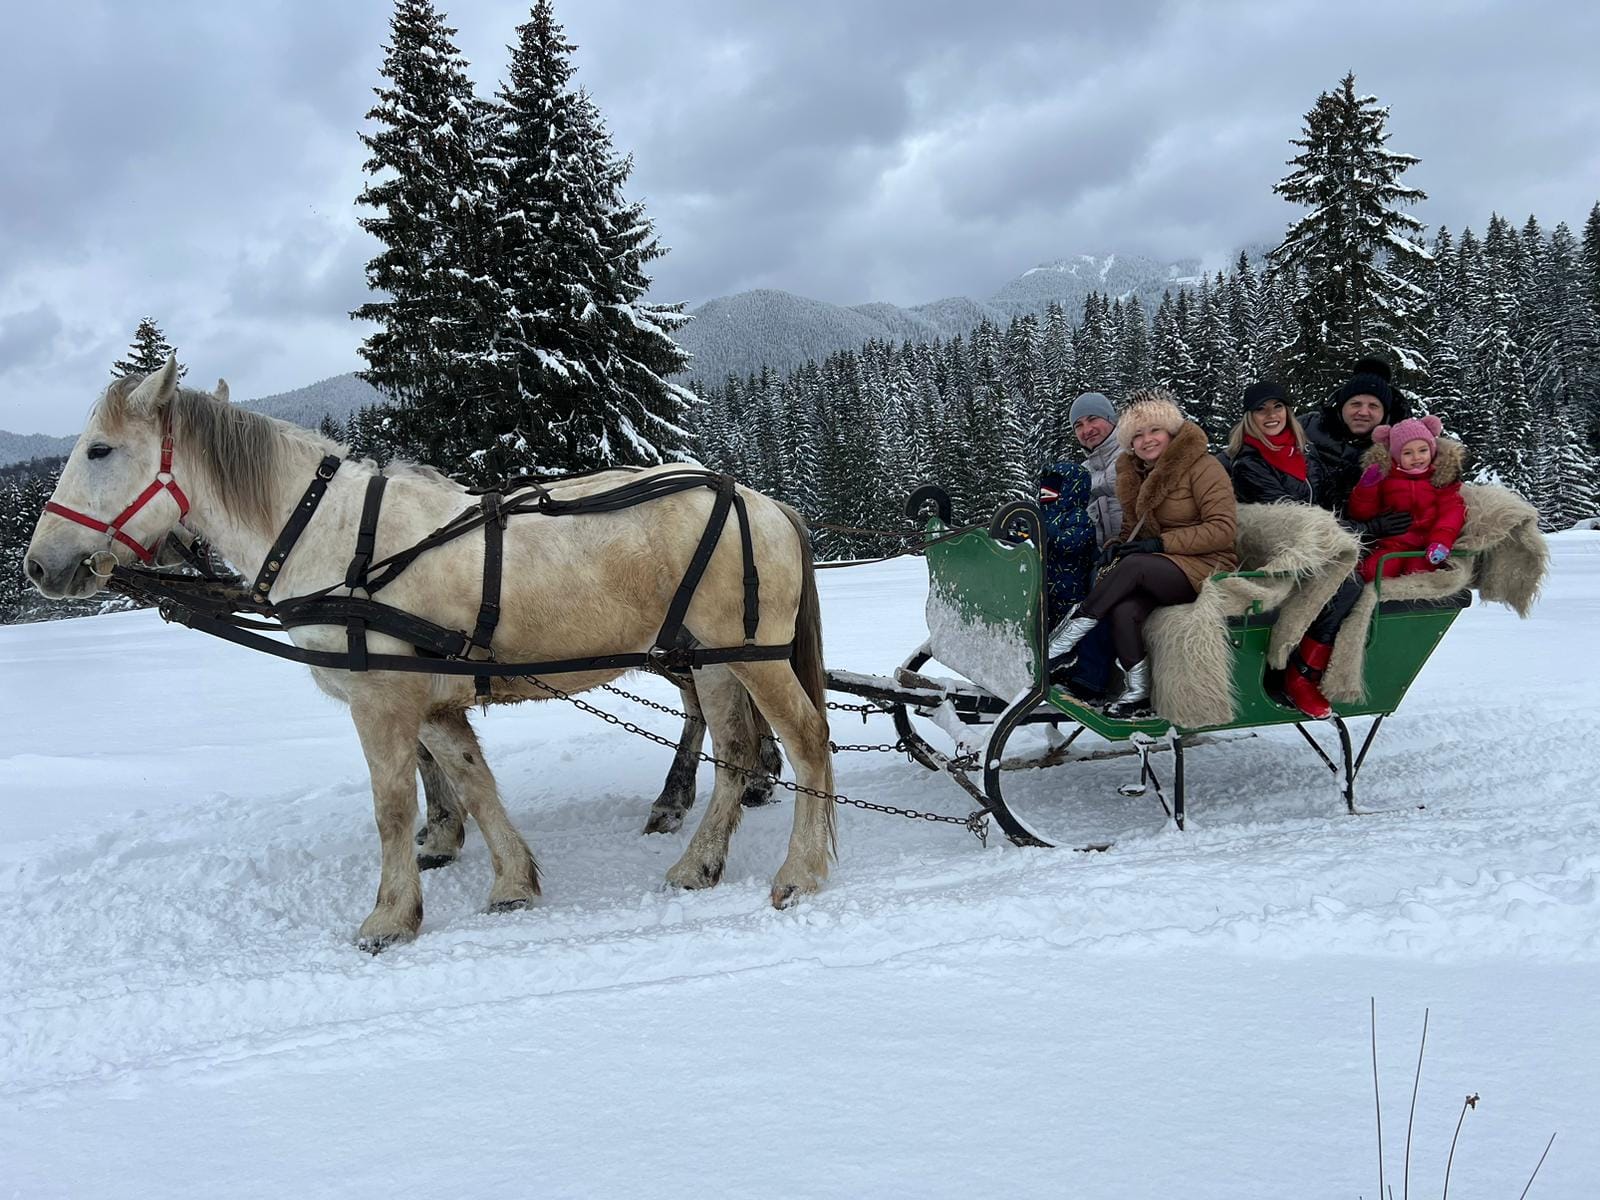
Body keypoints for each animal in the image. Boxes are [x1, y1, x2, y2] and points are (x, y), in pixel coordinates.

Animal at [25, 361, 838, 953]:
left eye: (99, 450)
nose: (38, 564)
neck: (329, 535)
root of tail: (766, 502)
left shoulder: (381, 699)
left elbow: (392, 808)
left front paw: (390, 918)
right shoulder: (435, 701)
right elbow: (474, 785)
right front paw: (511, 881)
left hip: (752, 656)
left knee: (806, 739)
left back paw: (800, 870)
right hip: (713, 658)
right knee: (736, 753)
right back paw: (701, 860)